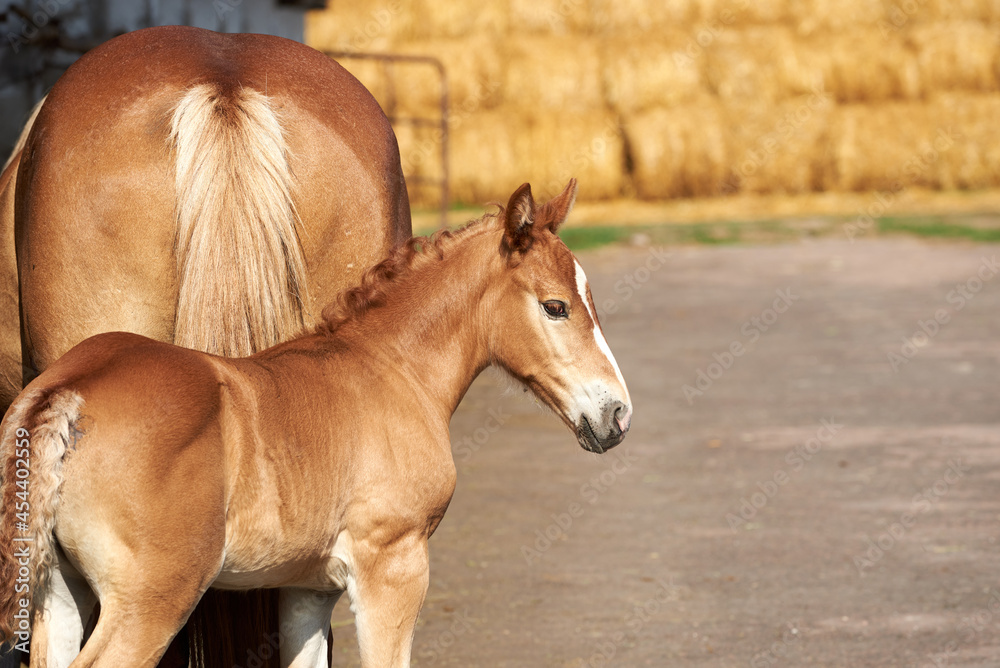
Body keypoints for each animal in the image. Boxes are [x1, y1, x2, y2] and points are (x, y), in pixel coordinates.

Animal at [0, 179, 631, 667]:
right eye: (556, 306)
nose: (618, 413)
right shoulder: (392, 567)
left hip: (58, 591)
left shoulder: (305, 588)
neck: (391, 369)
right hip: (151, 601)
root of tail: (67, 389)